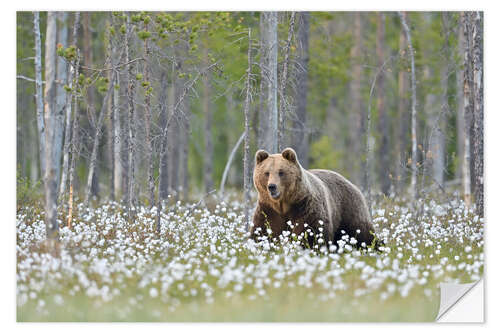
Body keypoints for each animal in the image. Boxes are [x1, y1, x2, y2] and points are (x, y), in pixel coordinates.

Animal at [250, 147, 378, 248]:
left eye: (281, 172)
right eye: (267, 173)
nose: (272, 186)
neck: (283, 205)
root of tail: (352, 184)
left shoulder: (305, 208)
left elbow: (311, 232)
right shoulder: (268, 210)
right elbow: (261, 231)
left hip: (349, 209)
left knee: (363, 233)